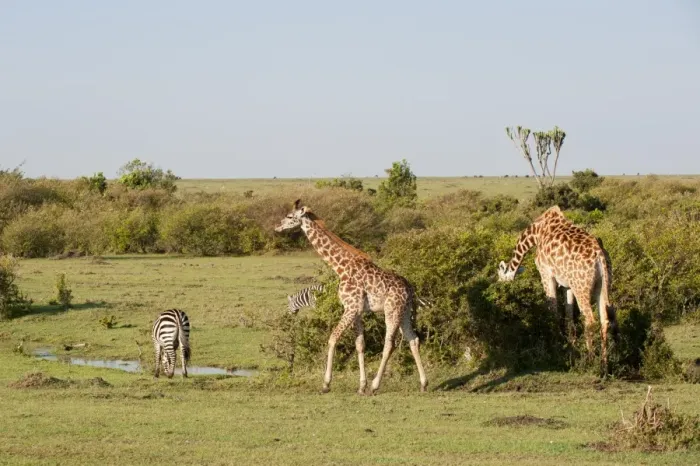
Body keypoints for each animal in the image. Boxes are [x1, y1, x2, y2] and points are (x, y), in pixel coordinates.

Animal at [274, 199, 428, 395]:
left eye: (289, 216)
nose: (277, 227)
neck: (341, 267)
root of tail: (410, 289)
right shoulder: (357, 311)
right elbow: (360, 344)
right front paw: (361, 386)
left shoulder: (350, 307)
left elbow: (333, 338)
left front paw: (326, 384)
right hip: (405, 312)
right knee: (413, 340)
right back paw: (423, 383)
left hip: (392, 310)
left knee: (390, 344)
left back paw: (375, 386)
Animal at [497, 205, 617, 370]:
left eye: (500, 279)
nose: (501, 302)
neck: (536, 232)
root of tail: (600, 256)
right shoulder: (568, 285)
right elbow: (569, 317)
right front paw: (571, 351)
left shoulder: (546, 273)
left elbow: (553, 312)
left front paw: (557, 351)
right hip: (603, 285)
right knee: (604, 320)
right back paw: (604, 365)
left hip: (581, 287)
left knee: (590, 320)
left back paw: (591, 362)